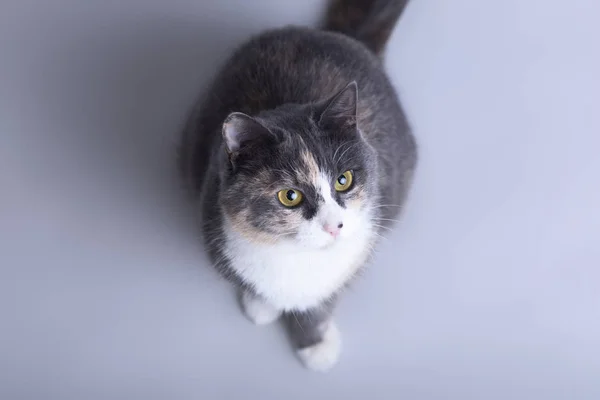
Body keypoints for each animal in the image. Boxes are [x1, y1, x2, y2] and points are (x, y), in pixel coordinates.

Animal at [178, 0, 418, 372]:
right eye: (289, 196)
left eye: (344, 179)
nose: (335, 226)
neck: (295, 258)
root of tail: (335, 35)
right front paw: (261, 305)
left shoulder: (357, 253)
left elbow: (324, 298)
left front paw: (315, 343)